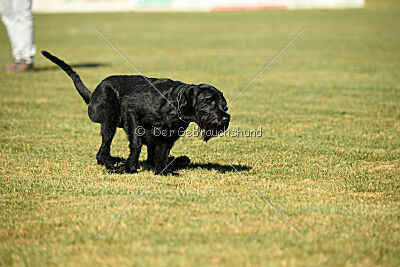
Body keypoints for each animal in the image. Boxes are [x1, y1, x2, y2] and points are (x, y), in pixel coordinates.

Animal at [41, 51, 230, 175]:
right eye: (210, 101)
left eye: (224, 105)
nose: (225, 118)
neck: (175, 104)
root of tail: (94, 93)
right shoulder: (132, 113)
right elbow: (137, 144)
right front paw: (131, 168)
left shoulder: (167, 137)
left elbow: (162, 154)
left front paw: (163, 171)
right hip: (109, 120)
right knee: (102, 150)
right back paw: (112, 163)